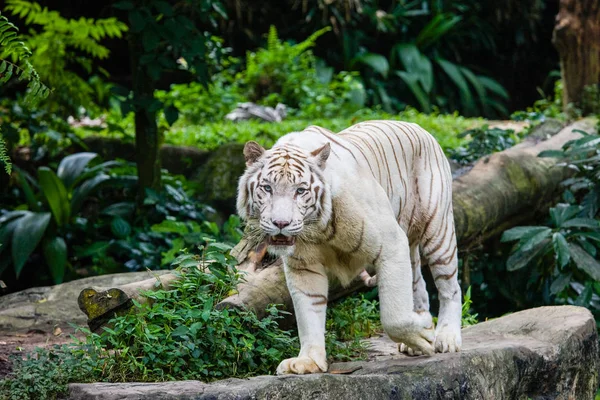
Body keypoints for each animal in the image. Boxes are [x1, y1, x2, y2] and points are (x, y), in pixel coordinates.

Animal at [237, 119, 462, 376]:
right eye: (267, 188)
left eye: (300, 190)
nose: (281, 223)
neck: (318, 229)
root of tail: (418, 126)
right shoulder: (303, 266)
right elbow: (308, 312)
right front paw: (308, 360)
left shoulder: (391, 242)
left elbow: (393, 315)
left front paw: (424, 335)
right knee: (418, 286)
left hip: (438, 231)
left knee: (450, 287)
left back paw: (447, 337)